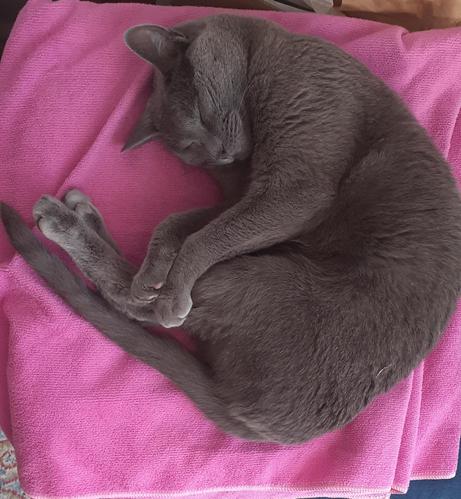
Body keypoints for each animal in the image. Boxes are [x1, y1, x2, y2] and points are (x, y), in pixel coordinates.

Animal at [0, 14, 460, 446]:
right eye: (188, 150)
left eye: (204, 114)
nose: (219, 153)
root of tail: (245, 409)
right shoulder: (242, 195)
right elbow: (179, 224)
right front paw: (156, 269)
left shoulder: (294, 190)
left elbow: (203, 238)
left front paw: (169, 283)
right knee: (131, 294)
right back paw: (98, 232)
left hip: (257, 282)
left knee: (136, 304)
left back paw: (74, 229)